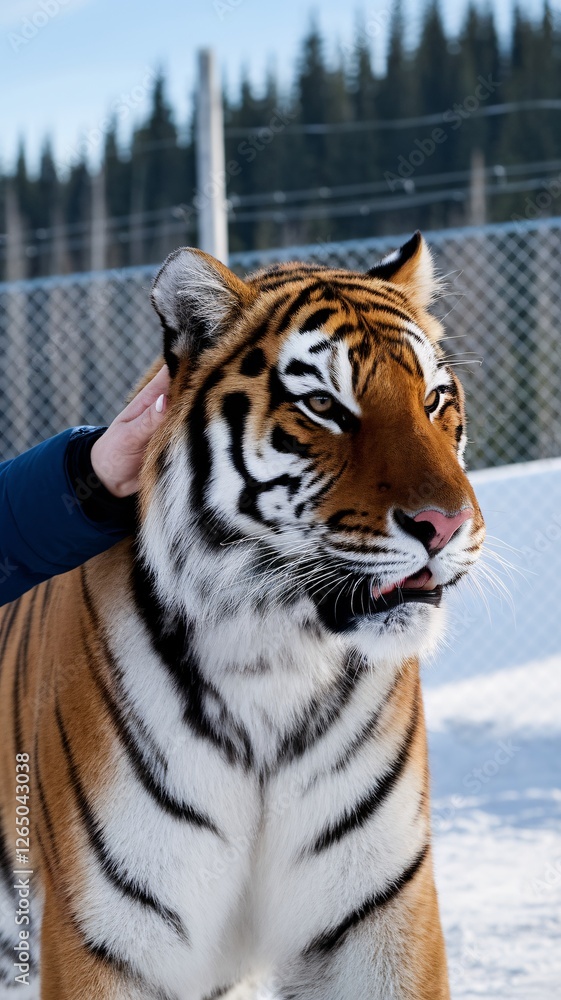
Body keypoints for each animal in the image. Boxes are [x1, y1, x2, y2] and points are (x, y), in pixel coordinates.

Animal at [0, 231, 485, 1000]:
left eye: (435, 397)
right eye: (322, 404)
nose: (446, 524)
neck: (275, 665)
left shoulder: (376, 915)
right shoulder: (107, 936)